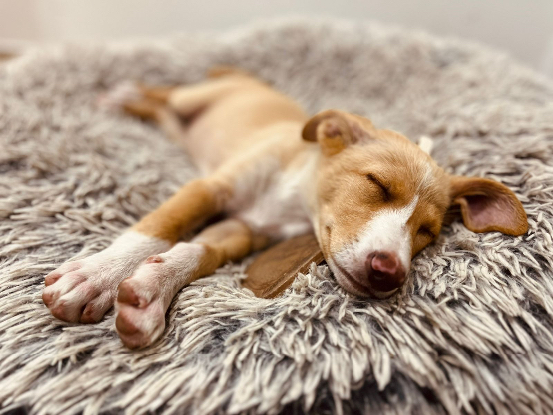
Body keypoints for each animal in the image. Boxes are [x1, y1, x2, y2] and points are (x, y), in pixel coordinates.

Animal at [42, 68, 528, 349]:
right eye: (377, 185)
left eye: (426, 232)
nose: (389, 272)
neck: (293, 194)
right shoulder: (209, 188)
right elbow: (159, 228)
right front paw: (97, 277)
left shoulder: (244, 230)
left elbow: (197, 252)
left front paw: (150, 292)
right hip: (196, 97)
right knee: (164, 91)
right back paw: (121, 95)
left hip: (184, 126)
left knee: (163, 112)